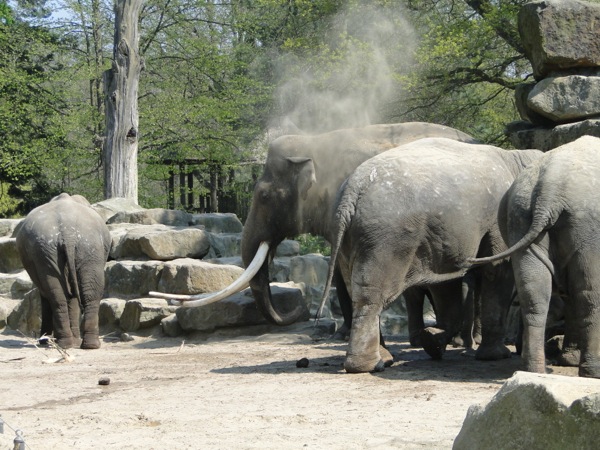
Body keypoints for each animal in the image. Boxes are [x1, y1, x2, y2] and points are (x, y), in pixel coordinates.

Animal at [14, 192, 111, 350]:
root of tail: (68, 232)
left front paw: (46, 341)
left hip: (57, 250)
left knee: (59, 295)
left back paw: (69, 344)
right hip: (81, 247)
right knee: (85, 294)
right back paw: (81, 344)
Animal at [318, 137, 544, 372]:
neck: (516, 157)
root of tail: (352, 191)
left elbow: (445, 283)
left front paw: (434, 340)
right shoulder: (499, 222)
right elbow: (497, 272)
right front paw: (496, 356)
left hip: (349, 238)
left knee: (357, 290)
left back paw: (386, 357)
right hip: (387, 237)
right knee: (372, 295)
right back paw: (371, 365)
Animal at [466, 135, 600, 378]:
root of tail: (549, 189)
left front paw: (568, 360)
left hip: (519, 218)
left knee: (533, 294)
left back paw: (534, 370)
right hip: (588, 227)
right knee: (589, 293)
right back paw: (592, 372)